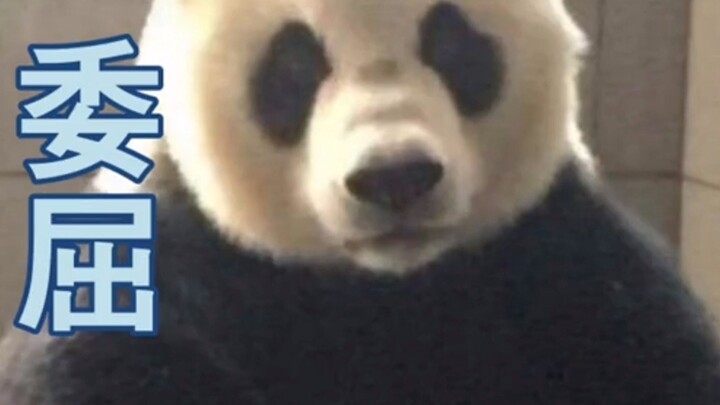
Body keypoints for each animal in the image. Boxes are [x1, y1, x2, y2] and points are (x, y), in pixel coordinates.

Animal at [2, 0, 720, 403]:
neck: (382, 286)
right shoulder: (172, 273)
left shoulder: (563, 259)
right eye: (296, 63)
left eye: (451, 43)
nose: (396, 177)